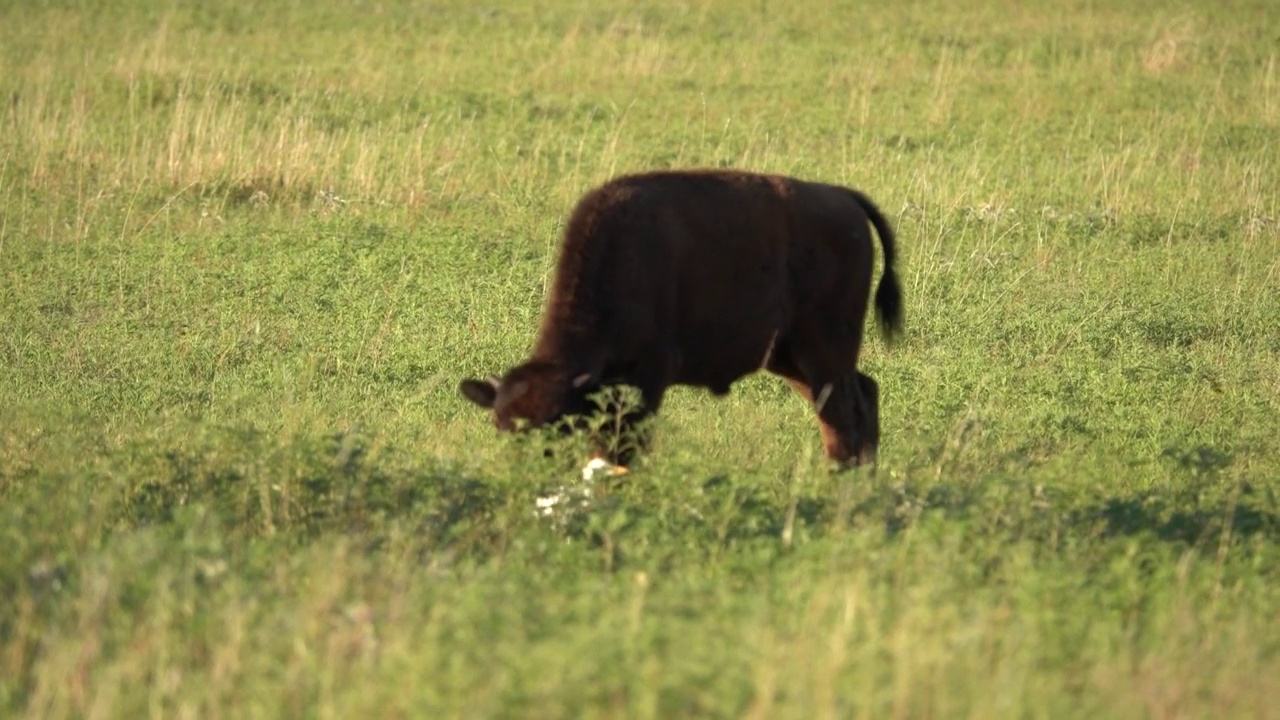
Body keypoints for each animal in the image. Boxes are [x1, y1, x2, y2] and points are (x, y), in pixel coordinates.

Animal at [458, 170, 901, 468]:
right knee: (860, 396)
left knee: (844, 416)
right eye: (500, 425)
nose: (527, 469)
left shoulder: (647, 381)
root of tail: (843, 198)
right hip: (790, 357)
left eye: (558, 424)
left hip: (823, 351)